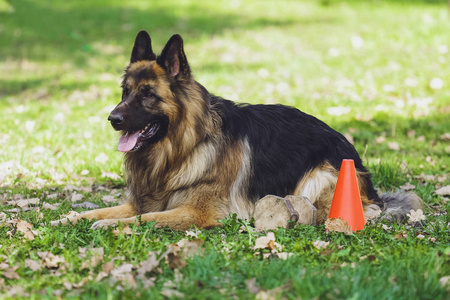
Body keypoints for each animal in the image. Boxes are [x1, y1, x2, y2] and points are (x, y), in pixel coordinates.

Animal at [52, 31, 422, 230]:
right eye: (125, 92)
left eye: (147, 95)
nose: (112, 119)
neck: (182, 149)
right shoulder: (143, 201)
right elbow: (97, 210)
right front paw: (67, 219)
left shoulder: (195, 212)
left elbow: (144, 220)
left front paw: (109, 226)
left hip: (322, 176)